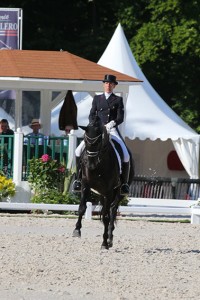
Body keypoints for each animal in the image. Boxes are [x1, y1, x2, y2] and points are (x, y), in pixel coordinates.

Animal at [72, 116, 134, 250]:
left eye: (98, 142)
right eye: (85, 140)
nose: (90, 165)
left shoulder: (108, 191)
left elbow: (106, 217)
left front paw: (104, 243)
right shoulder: (85, 185)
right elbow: (82, 208)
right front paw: (77, 230)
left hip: (118, 193)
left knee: (112, 210)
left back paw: (109, 239)